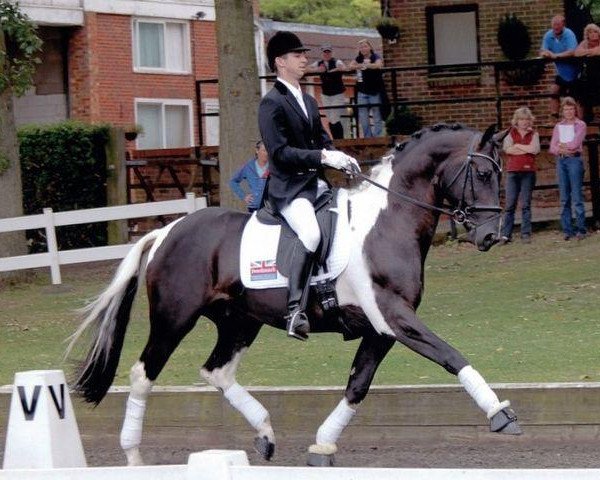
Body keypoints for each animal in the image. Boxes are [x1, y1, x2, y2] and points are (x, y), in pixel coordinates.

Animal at [68, 122, 520, 466]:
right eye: (483, 175)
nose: (491, 236)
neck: (387, 221)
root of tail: (165, 231)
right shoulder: (394, 315)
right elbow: (450, 355)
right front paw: (500, 414)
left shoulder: (381, 327)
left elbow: (358, 385)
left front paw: (322, 444)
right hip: (174, 318)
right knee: (143, 374)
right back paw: (133, 455)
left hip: (239, 322)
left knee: (217, 372)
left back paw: (266, 434)